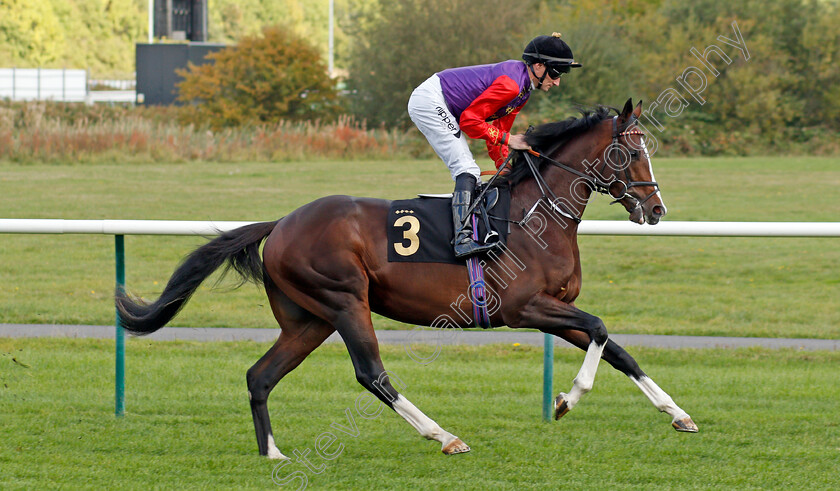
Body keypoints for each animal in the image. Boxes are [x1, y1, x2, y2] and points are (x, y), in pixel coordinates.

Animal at [115, 98, 700, 460]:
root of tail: (280, 224)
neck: (536, 215)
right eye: (632, 150)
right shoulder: (525, 308)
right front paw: (566, 399)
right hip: (344, 300)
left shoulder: (551, 310)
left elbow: (617, 347)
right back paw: (444, 436)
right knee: (371, 374)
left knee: (259, 376)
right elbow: (600, 328)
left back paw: (273, 452)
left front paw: (678, 414)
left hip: (308, 319)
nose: (657, 209)